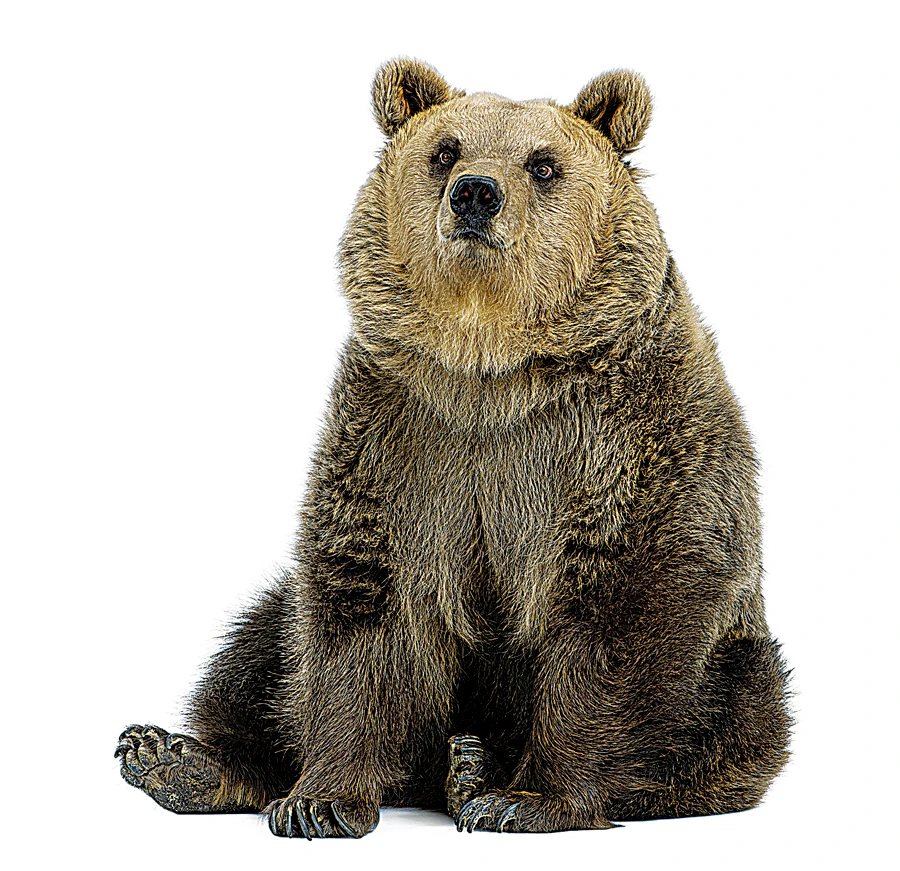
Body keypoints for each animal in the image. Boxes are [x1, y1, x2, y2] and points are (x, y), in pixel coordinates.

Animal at [115, 58, 791, 837]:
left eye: (543, 164)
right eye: (445, 151)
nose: (475, 193)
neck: (487, 365)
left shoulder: (621, 433)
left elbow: (623, 602)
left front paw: (528, 798)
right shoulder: (401, 434)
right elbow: (360, 604)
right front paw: (318, 799)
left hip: (737, 664)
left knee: (733, 711)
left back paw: (477, 769)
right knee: (260, 645)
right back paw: (178, 760)